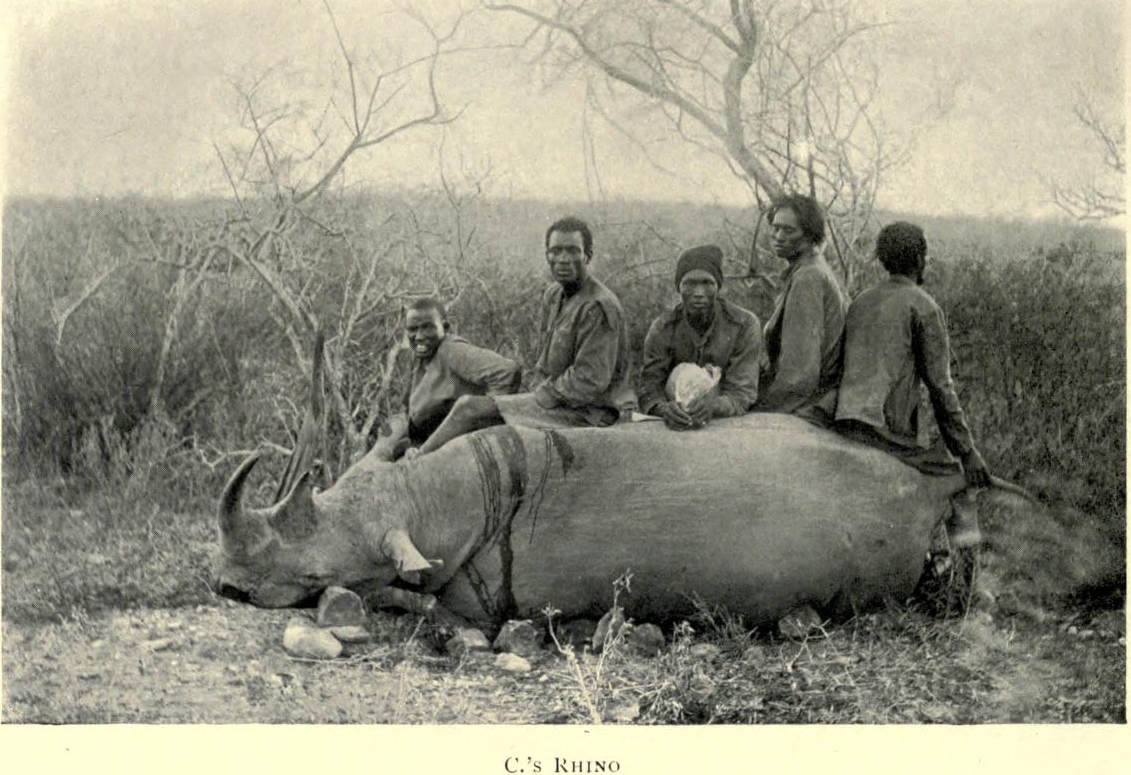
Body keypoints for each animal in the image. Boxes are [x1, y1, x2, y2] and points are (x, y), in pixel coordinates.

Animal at [216, 412, 996, 628]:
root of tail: (928, 493)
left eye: (316, 574)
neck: (431, 501)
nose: (227, 586)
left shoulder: (479, 600)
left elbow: (407, 599)